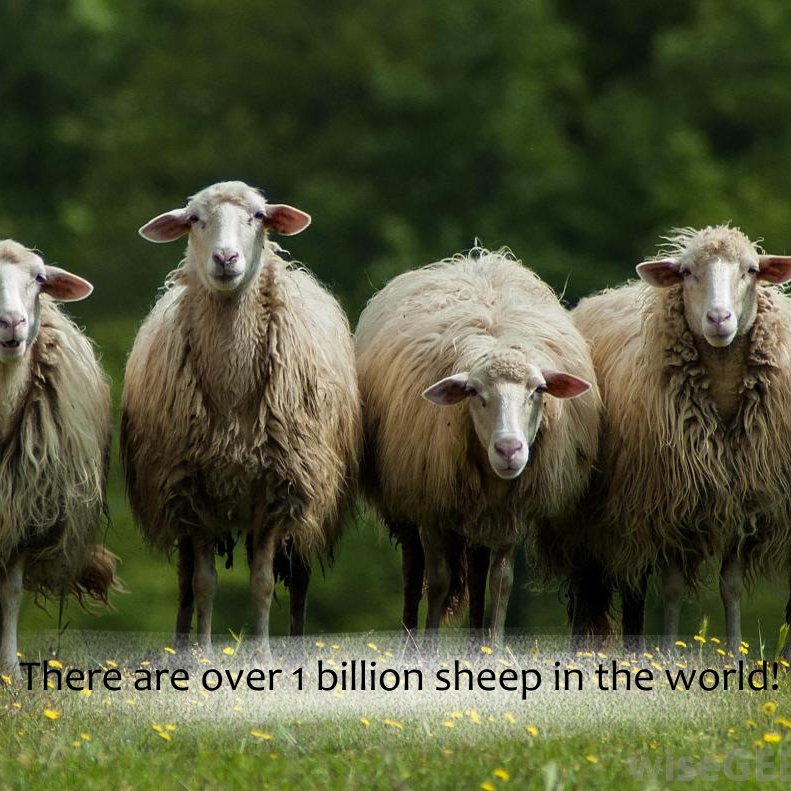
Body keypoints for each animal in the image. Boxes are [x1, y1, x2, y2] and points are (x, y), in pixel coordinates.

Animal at [121, 181, 361, 652]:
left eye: (258, 216)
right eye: (194, 219)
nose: (226, 258)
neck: (232, 397)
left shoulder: (279, 489)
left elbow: (263, 583)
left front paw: (262, 655)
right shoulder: (191, 492)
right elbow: (204, 583)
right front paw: (201, 654)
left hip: (306, 500)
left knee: (298, 582)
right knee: (184, 584)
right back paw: (178, 648)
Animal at [355, 248, 600, 641]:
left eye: (539, 390)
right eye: (473, 392)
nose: (509, 449)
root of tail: (472, 258)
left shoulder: (512, 512)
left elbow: (501, 582)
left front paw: (494, 645)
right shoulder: (432, 506)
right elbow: (438, 581)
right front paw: (428, 646)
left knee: (476, 572)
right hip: (407, 499)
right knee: (413, 572)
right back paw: (409, 637)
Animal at [569, 224, 791, 651]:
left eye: (751, 270)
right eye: (686, 272)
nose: (718, 318)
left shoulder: (743, 503)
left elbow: (731, 586)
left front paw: (735, 651)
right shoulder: (669, 504)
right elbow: (671, 588)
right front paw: (670, 653)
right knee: (608, 589)